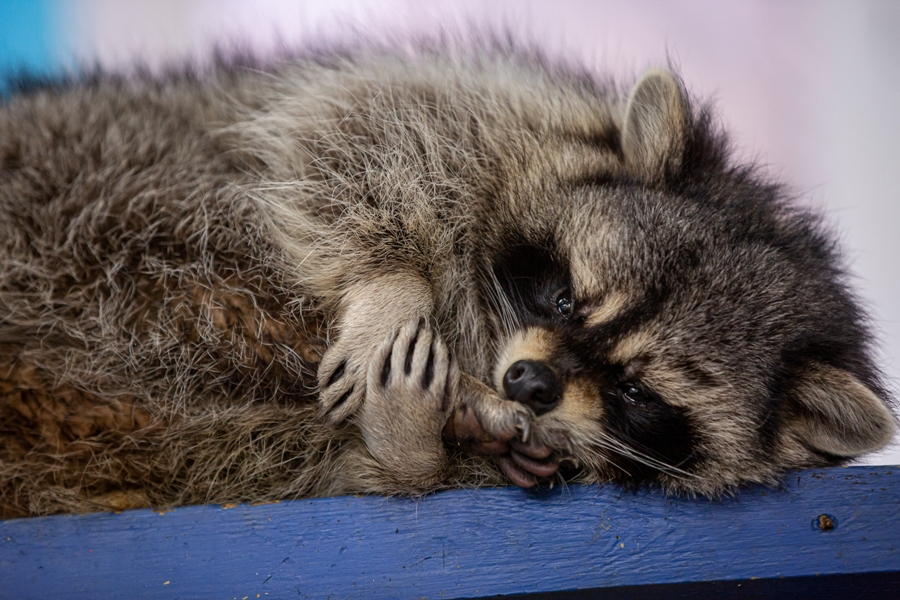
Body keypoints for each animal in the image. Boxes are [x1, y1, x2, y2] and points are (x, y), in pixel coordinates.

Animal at [0, 45, 892, 516]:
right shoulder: (495, 110)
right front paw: (391, 284)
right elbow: (363, 125)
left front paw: (439, 444)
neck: (483, 336)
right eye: (564, 296)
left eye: (637, 391)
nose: (528, 383)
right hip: (109, 171)